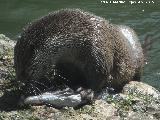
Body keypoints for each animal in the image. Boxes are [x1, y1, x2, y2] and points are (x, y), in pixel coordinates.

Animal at [14, 8, 144, 107]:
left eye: (25, 71)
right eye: (16, 68)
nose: (23, 88)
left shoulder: (98, 49)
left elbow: (100, 76)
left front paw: (86, 91)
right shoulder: (65, 64)